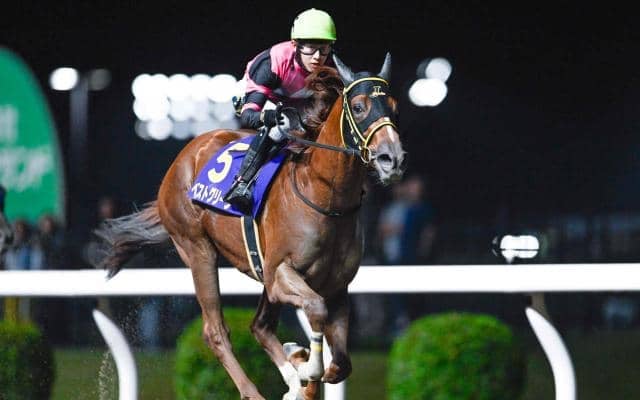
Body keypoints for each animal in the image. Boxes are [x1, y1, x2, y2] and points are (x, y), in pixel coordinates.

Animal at [93, 54, 405, 400]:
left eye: (393, 107)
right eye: (360, 106)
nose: (392, 158)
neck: (325, 197)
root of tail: (186, 155)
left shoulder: (336, 287)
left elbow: (340, 365)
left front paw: (302, 370)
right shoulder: (281, 273)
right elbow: (316, 310)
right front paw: (306, 369)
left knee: (260, 326)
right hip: (197, 249)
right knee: (215, 330)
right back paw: (254, 390)